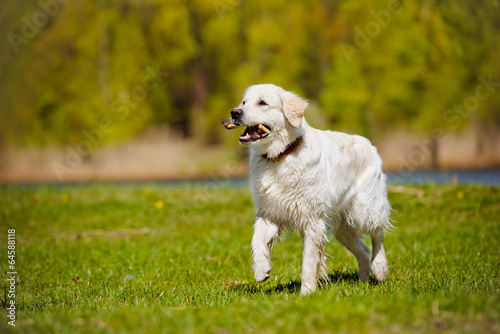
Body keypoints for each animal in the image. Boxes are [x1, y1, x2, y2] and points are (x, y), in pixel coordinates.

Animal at [225, 84, 392, 294]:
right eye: (244, 102)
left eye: (262, 102)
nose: (235, 113)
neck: (281, 156)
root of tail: (369, 143)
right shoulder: (270, 213)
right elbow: (256, 240)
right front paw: (261, 270)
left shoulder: (312, 220)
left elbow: (309, 262)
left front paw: (307, 293)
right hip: (342, 227)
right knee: (363, 250)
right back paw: (363, 283)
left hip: (363, 209)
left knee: (378, 233)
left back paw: (380, 268)